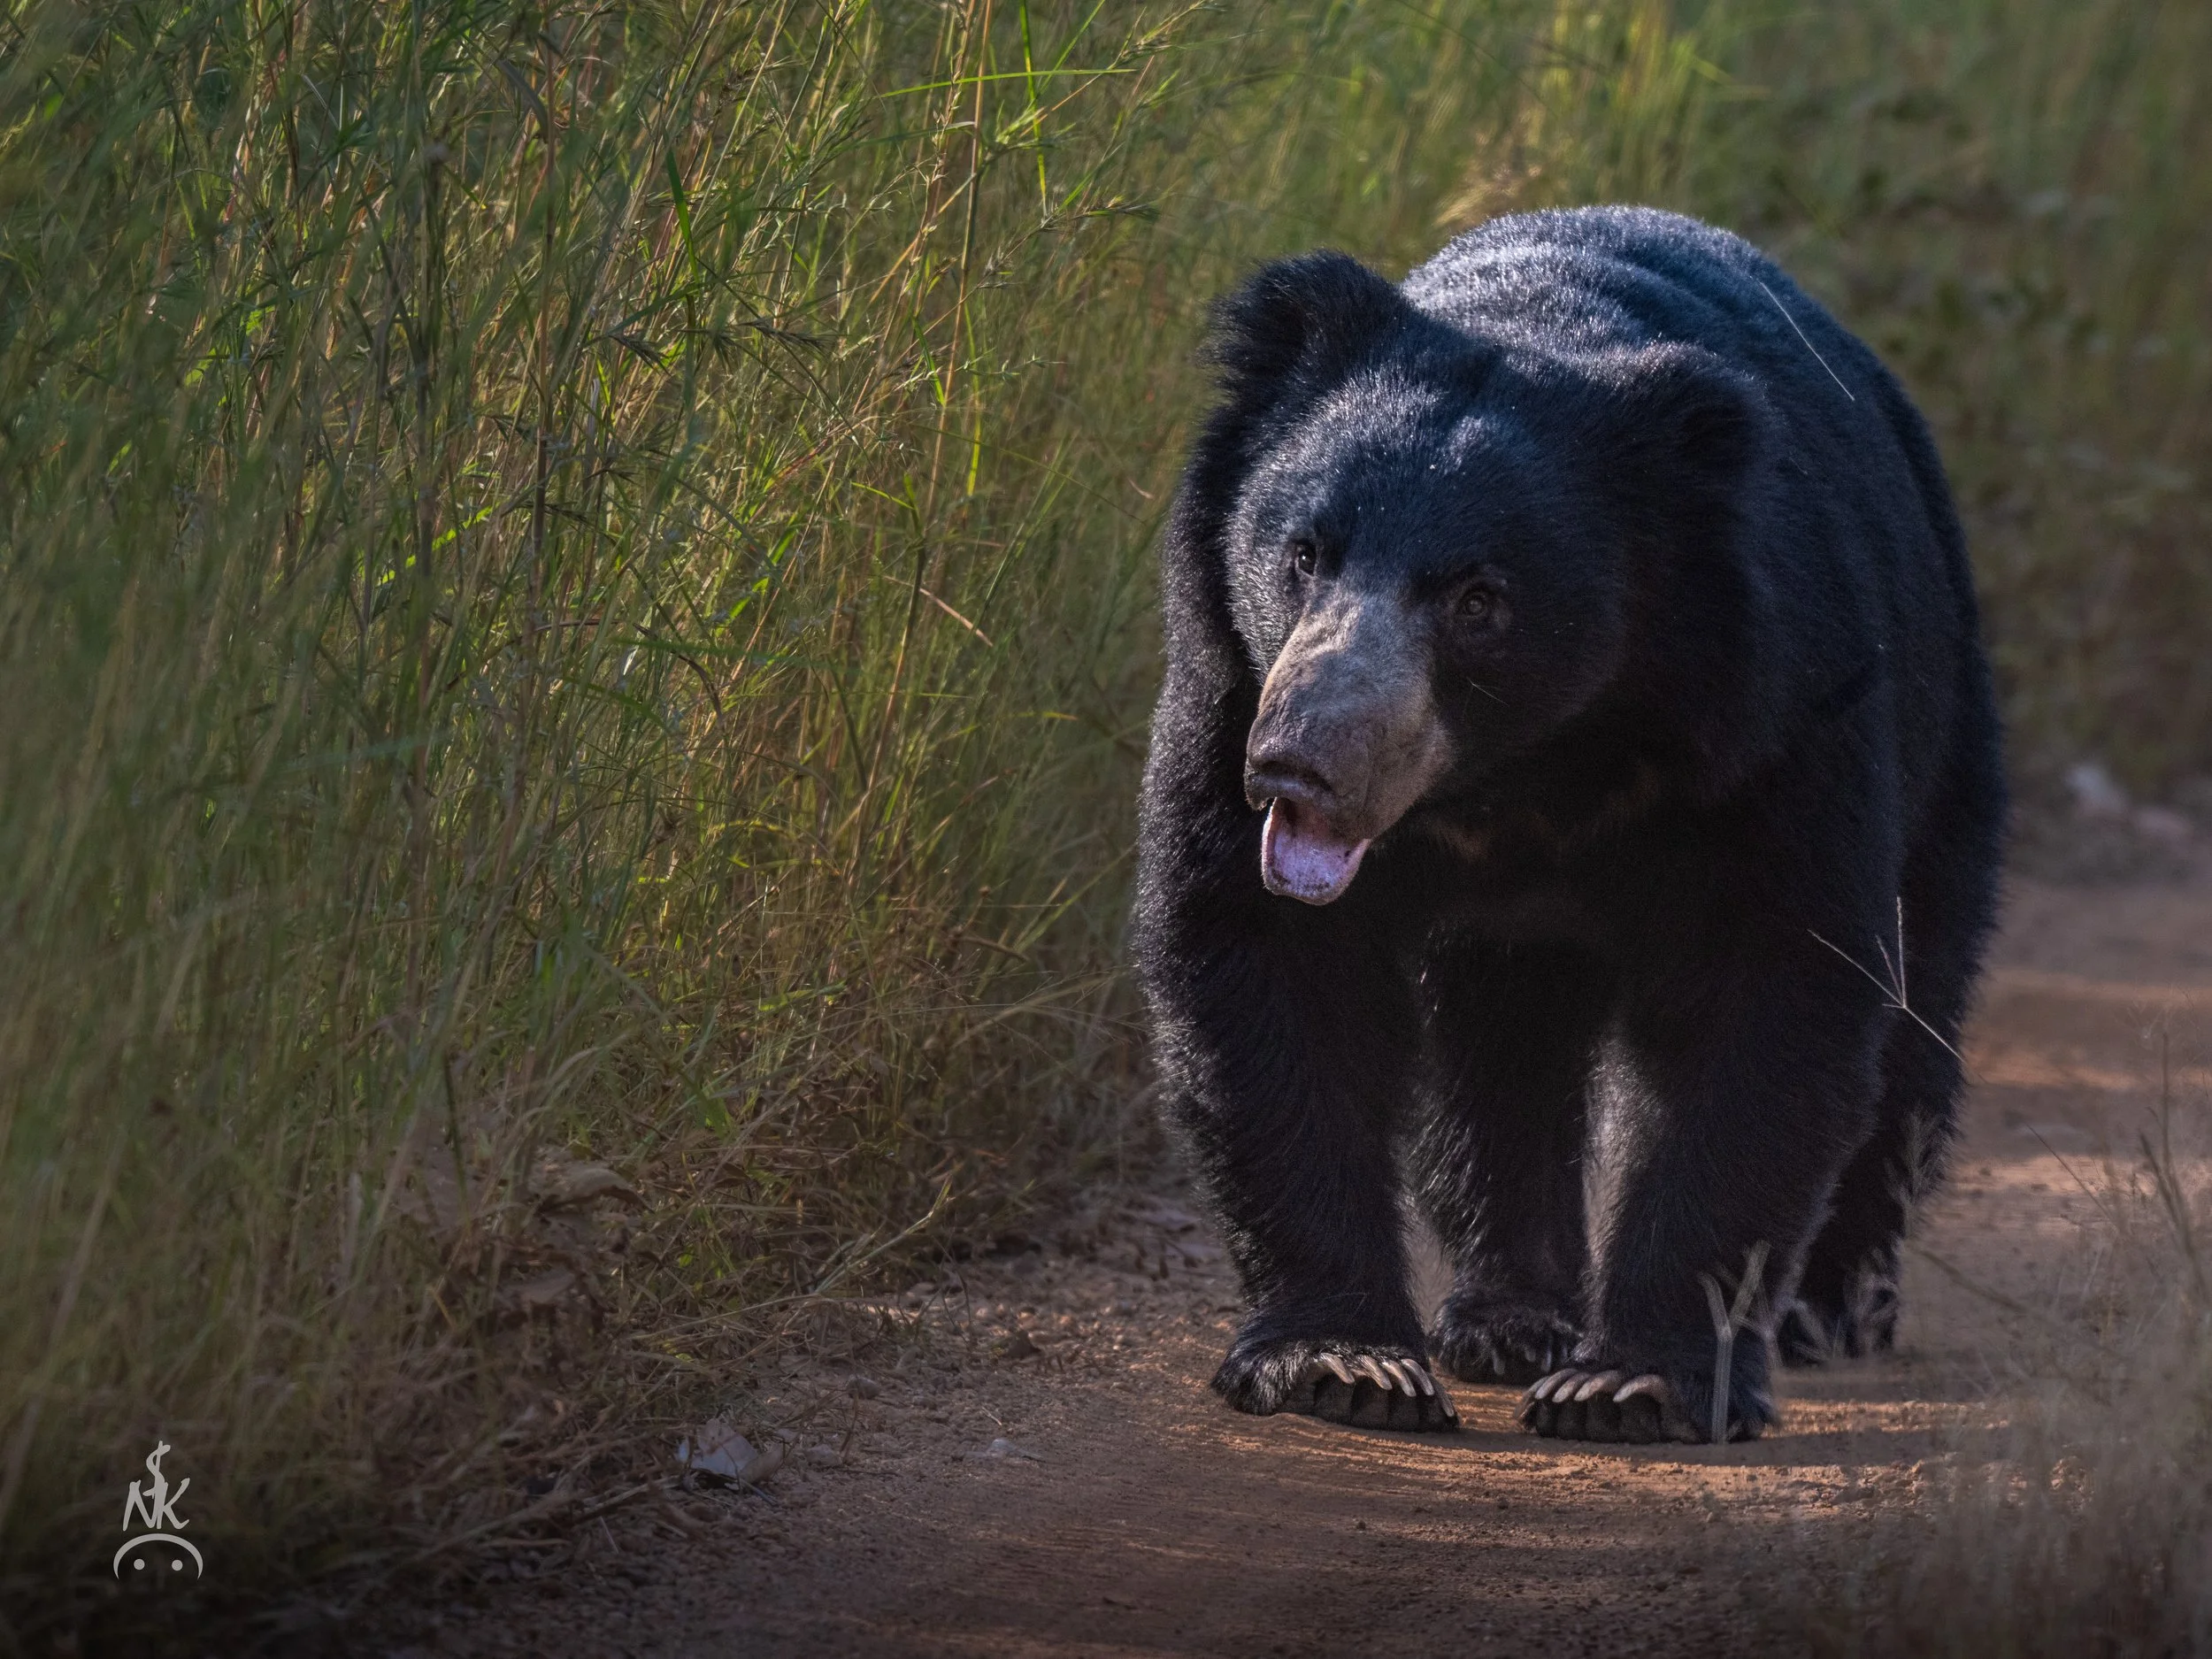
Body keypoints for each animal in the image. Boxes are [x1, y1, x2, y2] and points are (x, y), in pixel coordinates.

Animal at [1132, 206, 2005, 1442]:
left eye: (1478, 601)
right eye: (1302, 554)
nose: (1300, 767)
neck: (1524, 774)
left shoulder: (1770, 720)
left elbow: (1765, 994)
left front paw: (1635, 1381)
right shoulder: (1225, 679)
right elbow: (1271, 966)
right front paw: (1343, 1362)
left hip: (1946, 730)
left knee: (1918, 1002)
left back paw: (1829, 1312)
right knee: (1501, 1056)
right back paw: (1508, 1316)